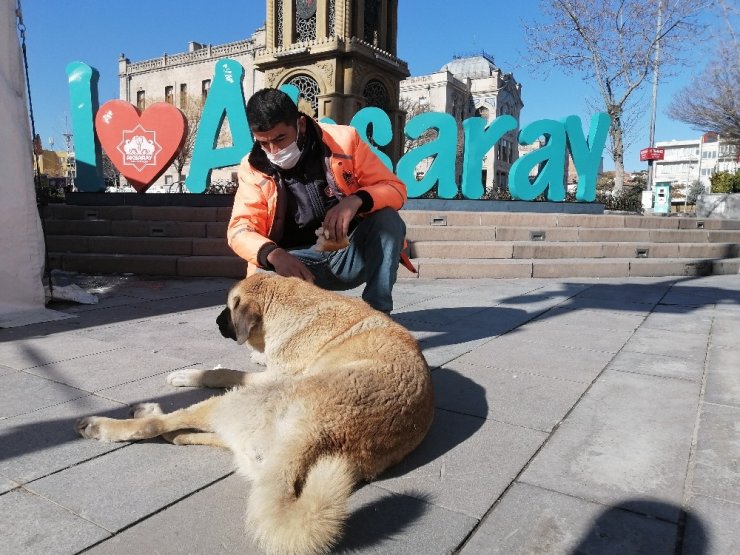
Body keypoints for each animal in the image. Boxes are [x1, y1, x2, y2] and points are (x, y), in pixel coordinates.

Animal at [75, 274, 434, 555]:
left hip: (239, 401)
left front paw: (190, 375)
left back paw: (108, 424)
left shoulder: (269, 376)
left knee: (158, 424)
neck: (298, 308)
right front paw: (254, 355)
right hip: (251, 439)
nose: (215, 322)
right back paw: (173, 429)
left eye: (229, 306)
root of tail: (316, 436)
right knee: (194, 434)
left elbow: (222, 372)